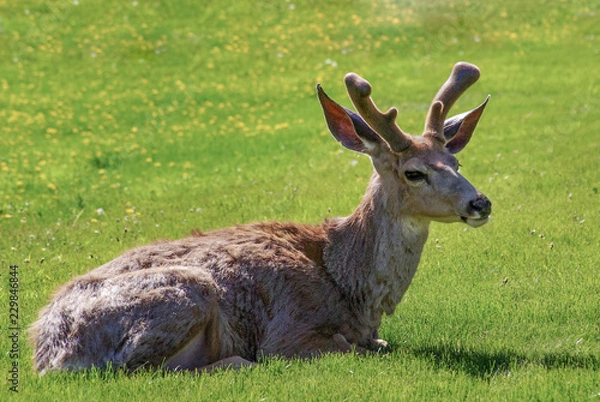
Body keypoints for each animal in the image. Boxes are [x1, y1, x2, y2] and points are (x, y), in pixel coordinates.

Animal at [30, 62, 492, 374]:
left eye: (456, 161)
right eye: (414, 173)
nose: (480, 203)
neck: (347, 282)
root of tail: (46, 351)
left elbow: (379, 344)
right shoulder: (291, 332)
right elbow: (356, 348)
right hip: (185, 292)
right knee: (143, 369)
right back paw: (238, 362)